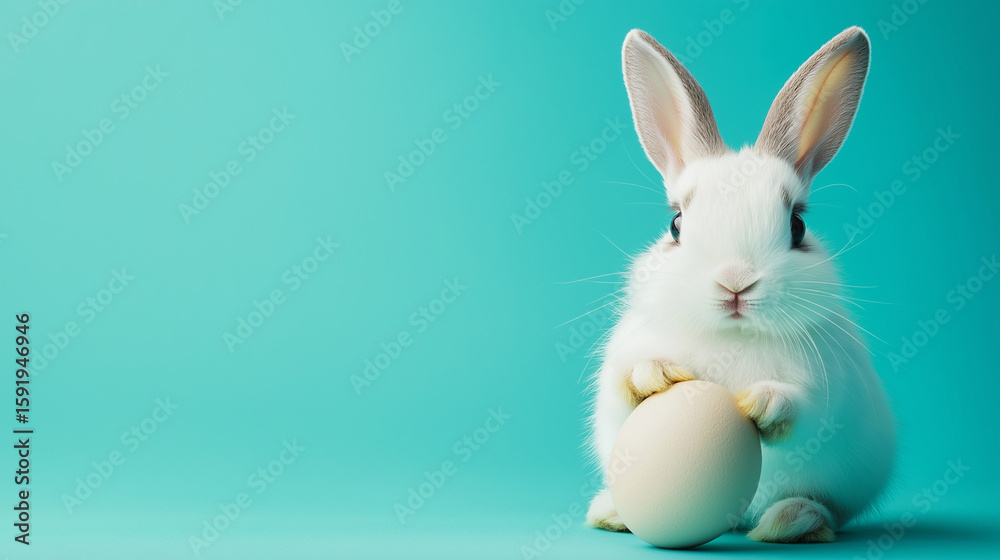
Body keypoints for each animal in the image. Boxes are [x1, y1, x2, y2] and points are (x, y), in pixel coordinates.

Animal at [585, 27, 896, 543]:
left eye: (797, 227)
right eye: (675, 225)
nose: (736, 282)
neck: (731, 336)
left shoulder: (828, 393)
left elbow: (803, 409)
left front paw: (763, 401)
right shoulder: (620, 368)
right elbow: (624, 382)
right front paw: (658, 375)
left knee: (827, 508)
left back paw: (792, 521)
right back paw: (611, 512)